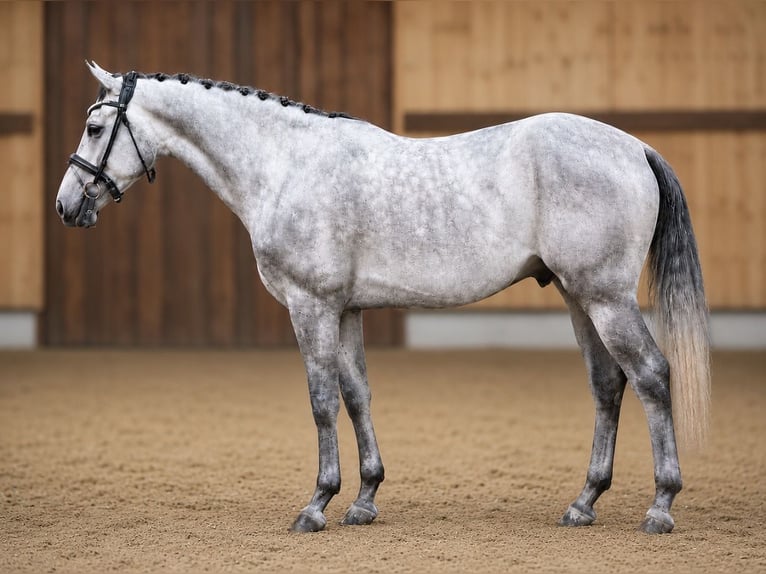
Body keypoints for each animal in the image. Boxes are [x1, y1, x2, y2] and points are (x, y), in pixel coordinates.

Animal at [55, 62, 710, 534]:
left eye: (95, 127)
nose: (66, 206)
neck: (286, 164)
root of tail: (634, 147)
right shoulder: (346, 311)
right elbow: (356, 396)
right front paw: (364, 499)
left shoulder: (312, 307)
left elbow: (321, 401)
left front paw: (317, 505)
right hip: (580, 299)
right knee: (608, 385)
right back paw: (583, 503)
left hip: (605, 298)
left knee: (652, 376)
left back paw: (660, 506)